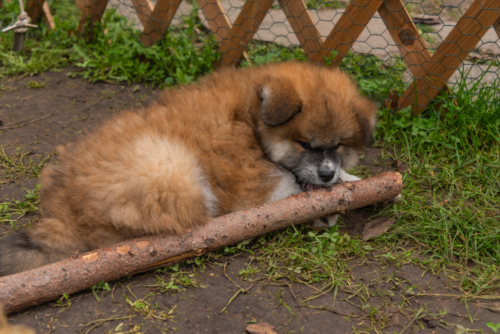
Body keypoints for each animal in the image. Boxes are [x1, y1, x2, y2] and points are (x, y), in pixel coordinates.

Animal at [0, 61, 382, 276]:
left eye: (338, 145)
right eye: (305, 144)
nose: (327, 174)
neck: (252, 118)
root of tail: (61, 214)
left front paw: (353, 184)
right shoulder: (254, 185)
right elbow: (288, 186)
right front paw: (330, 201)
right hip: (172, 168)